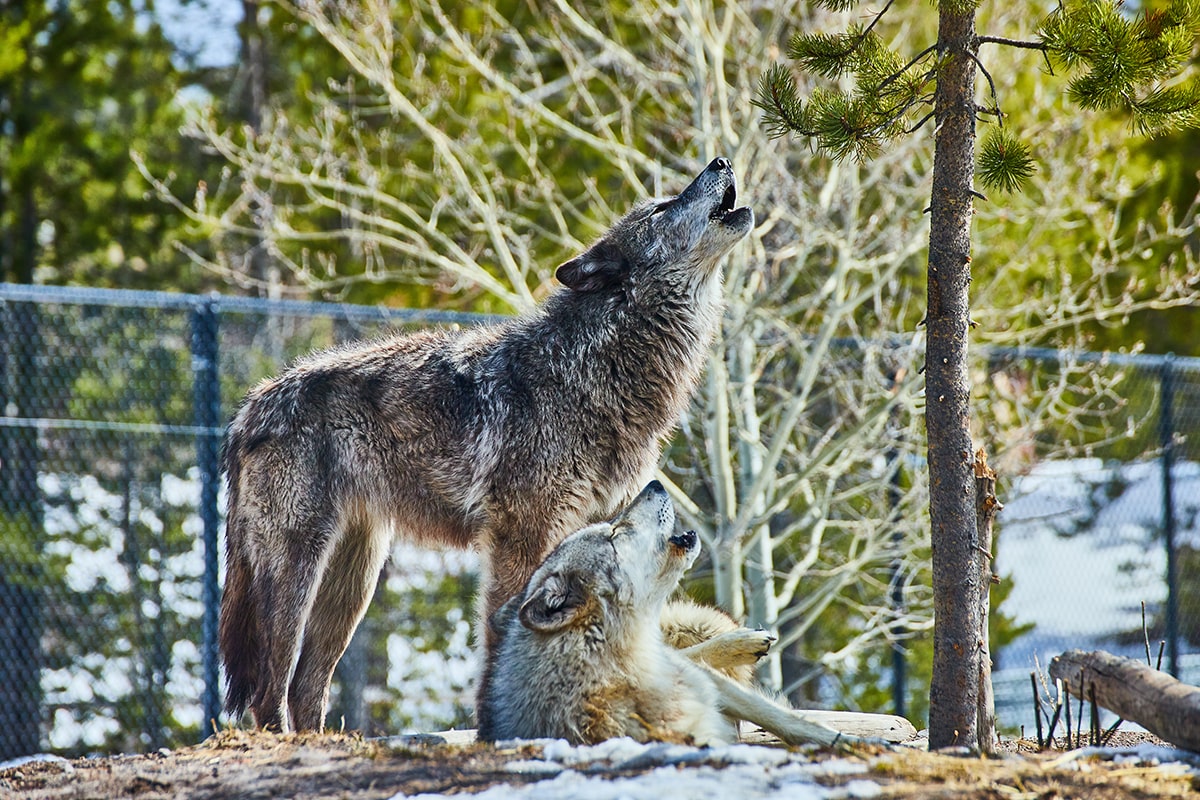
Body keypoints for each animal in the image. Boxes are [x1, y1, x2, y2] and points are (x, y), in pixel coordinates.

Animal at [220, 155, 753, 734]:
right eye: (661, 208)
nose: (722, 160)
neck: (593, 366)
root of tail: (249, 407)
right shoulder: (520, 536)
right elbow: (503, 629)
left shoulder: (599, 523)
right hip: (298, 566)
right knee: (269, 690)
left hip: (354, 580)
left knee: (306, 688)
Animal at [477, 482, 864, 753]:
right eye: (614, 532)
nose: (655, 483)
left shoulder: (705, 684)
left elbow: (787, 720)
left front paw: (853, 743)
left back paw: (742, 642)